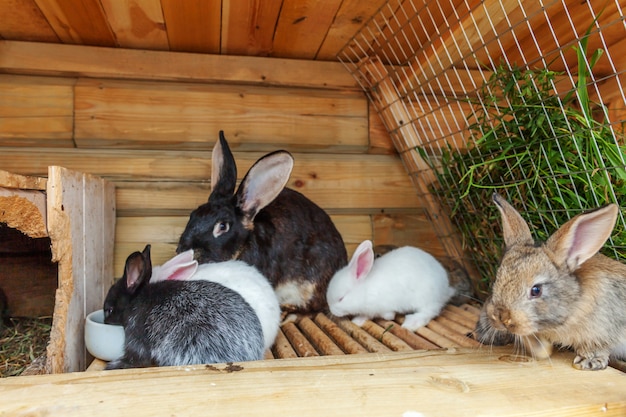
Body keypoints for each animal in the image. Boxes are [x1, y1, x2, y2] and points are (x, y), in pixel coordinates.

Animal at [326, 239, 454, 330]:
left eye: (341, 299)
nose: (332, 311)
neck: (366, 289)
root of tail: (445, 288)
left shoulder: (383, 305)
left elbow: (387, 314)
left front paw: (389, 317)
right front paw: (357, 320)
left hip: (426, 298)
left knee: (429, 312)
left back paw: (411, 323)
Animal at [476, 192, 620, 370]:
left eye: (536, 290)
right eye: (496, 281)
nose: (501, 317)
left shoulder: (603, 330)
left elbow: (597, 347)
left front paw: (588, 362)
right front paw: (541, 350)